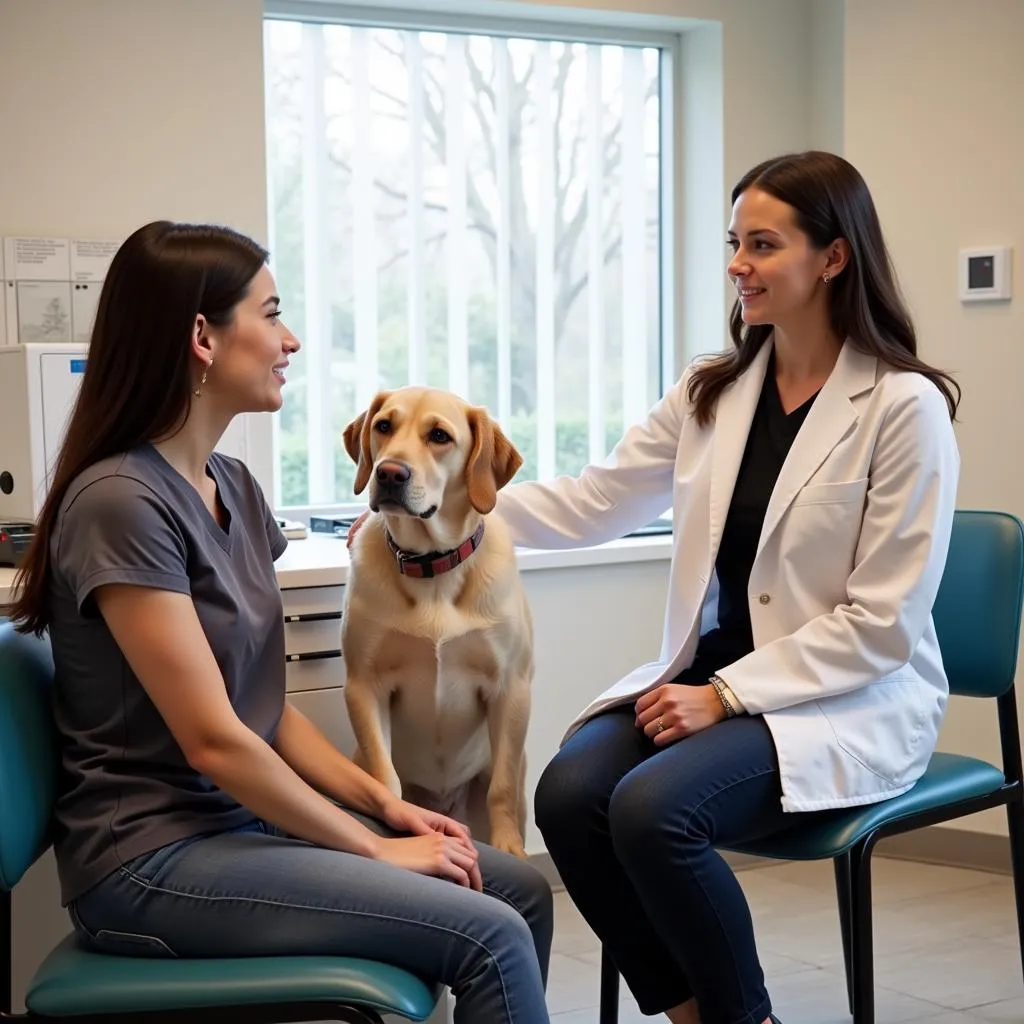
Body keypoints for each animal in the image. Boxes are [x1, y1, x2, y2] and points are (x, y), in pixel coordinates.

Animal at [344, 387, 536, 860]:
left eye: (439, 436)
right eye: (383, 426)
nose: (389, 472)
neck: (431, 566)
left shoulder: (512, 688)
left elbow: (502, 787)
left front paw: (508, 848)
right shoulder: (364, 685)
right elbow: (385, 778)